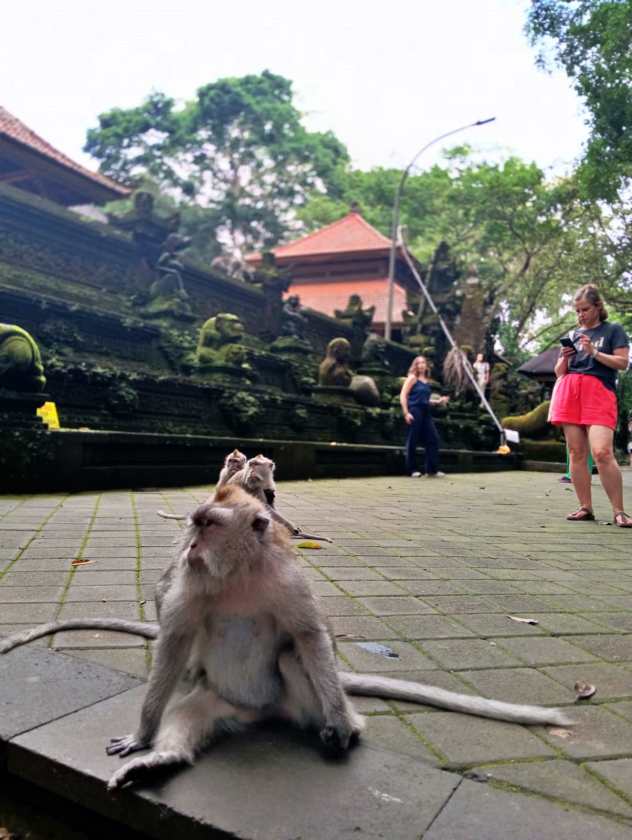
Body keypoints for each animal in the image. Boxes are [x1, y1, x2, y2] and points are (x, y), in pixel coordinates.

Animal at [1, 485, 572, 791]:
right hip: (222, 702)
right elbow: (176, 642)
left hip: (298, 698)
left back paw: (345, 725)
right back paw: (162, 760)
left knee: (297, 658)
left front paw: (341, 723)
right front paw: (144, 734)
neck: (238, 575)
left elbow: (309, 634)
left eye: (207, 525)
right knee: (191, 710)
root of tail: (263, 713)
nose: (189, 546)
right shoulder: (190, 586)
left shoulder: (286, 582)